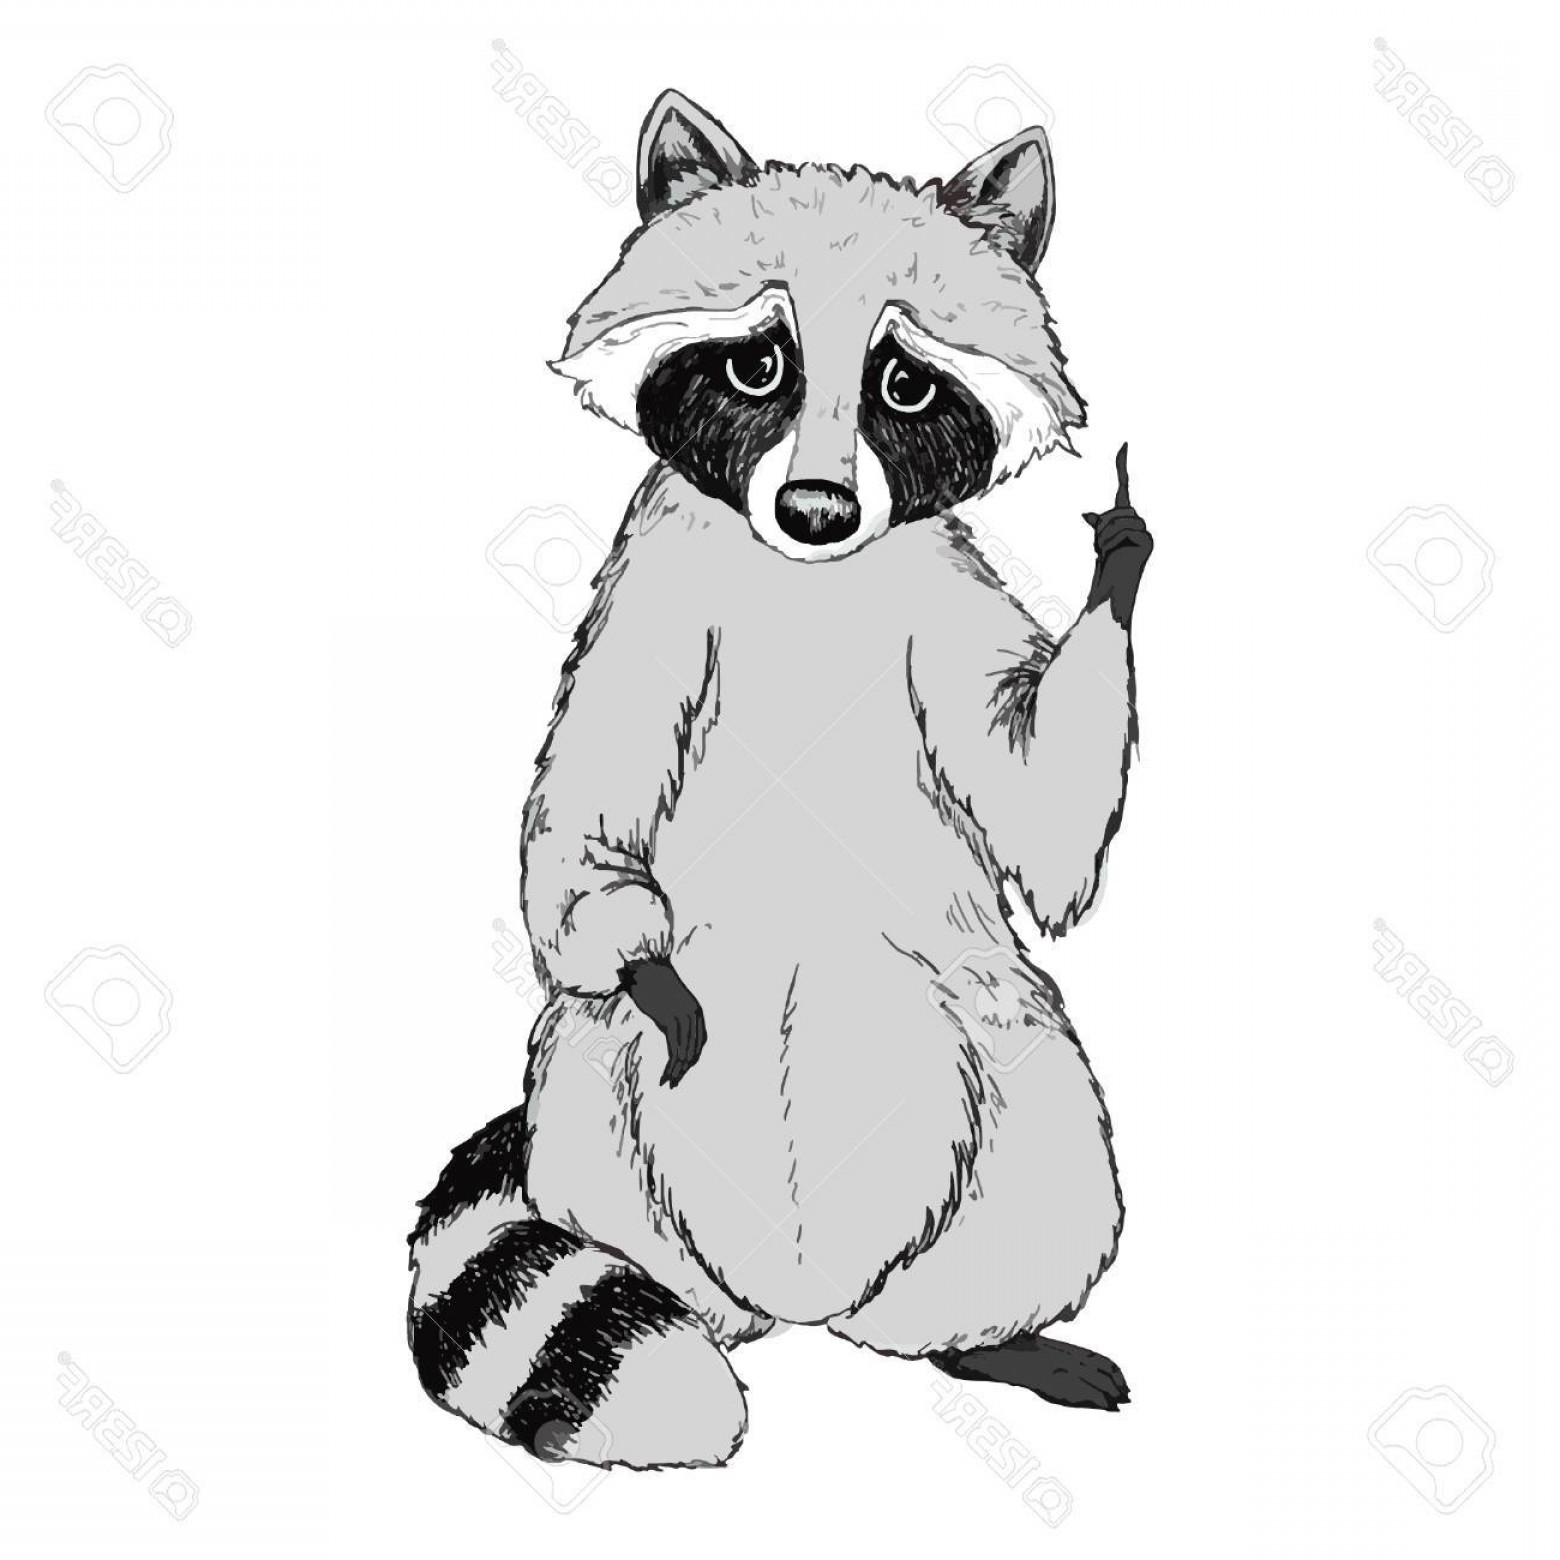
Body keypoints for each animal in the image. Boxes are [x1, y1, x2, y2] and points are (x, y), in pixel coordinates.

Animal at [408, 90, 1153, 1471]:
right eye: (759, 368)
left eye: (905, 386)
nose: (816, 509)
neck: (807, 578)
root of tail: (802, 1308)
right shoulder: (651, 589)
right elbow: (588, 796)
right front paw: (640, 956)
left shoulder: (940, 592)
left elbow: (1037, 803)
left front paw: (1117, 572)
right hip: (596, 1118)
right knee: (597, 1078)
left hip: (1012, 1083)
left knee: (1047, 1154)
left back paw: (985, 1334)